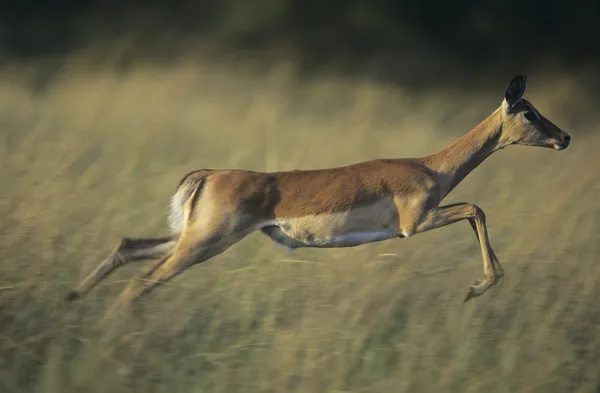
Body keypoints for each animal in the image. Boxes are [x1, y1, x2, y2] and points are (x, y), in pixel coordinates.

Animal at [65, 76, 572, 304]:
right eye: (528, 111)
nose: (564, 137)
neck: (430, 167)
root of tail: (207, 175)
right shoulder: (416, 223)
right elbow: (476, 208)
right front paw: (477, 287)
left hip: (190, 237)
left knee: (128, 247)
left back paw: (73, 299)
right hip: (205, 242)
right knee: (142, 282)